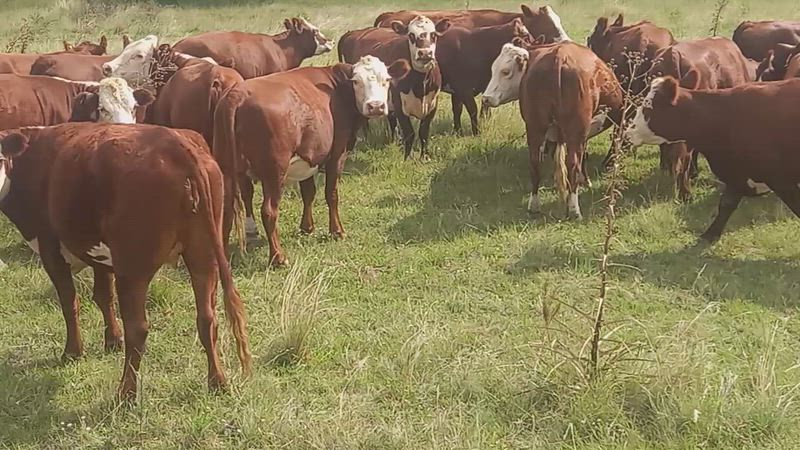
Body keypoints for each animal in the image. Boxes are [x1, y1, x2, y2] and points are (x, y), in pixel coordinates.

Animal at [0, 123, 252, 401]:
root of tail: (175, 143)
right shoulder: (99, 255)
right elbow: (103, 296)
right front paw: (112, 340)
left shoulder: (50, 247)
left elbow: (69, 302)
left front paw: (73, 351)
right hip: (203, 256)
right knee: (207, 318)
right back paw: (217, 381)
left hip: (133, 269)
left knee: (139, 329)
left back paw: (126, 393)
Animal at [212, 56, 410, 266]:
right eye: (357, 81)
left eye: (386, 80)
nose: (376, 106)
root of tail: (238, 95)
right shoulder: (337, 155)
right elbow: (331, 194)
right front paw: (336, 231)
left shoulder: (308, 157)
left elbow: (308, 193)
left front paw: (307, 227)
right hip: (274, 173)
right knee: (269, 211)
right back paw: (278, 257)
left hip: (227, 170)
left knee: (226, 211)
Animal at [339, 16, 450, 159]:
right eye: (411, 35)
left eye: (433, 34)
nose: (425, 53)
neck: (420, 85)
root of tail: (353, 32)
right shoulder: (399, 105)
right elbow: (409, 133)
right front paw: (407, 158)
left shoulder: (432, 104)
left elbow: (424, 132)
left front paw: (424, 157)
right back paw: (368, 139)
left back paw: (394, 141)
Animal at [518, 41, 623, 220]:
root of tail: (559, 56)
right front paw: (586, 182)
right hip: (577, 128)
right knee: (573, 163)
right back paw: (574, 209)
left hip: (535, 125)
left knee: (534, 163)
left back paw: (534, 206)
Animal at [626, 77, 800, 241]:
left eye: (648, 107)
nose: (628, 132)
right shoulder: (737, 175)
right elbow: (726, 205)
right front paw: (710, 234)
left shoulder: (781, 181)